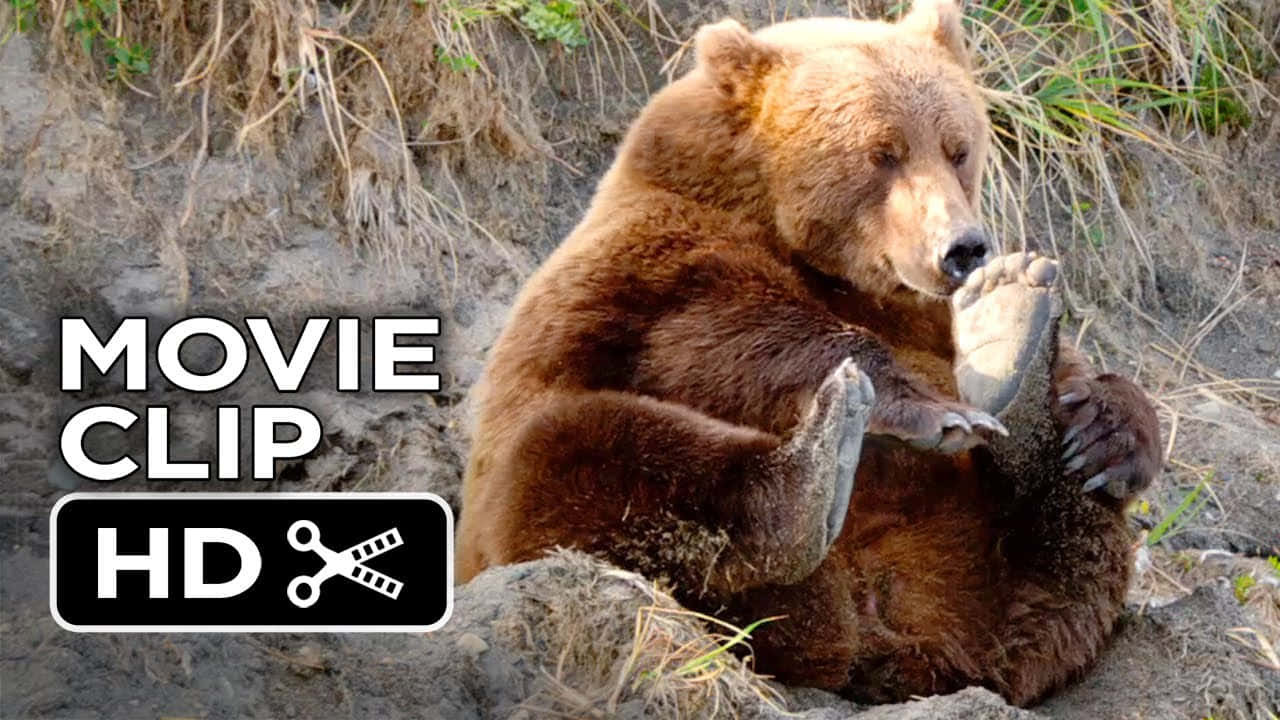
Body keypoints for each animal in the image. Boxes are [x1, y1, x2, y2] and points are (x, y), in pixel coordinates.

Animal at [456, 0, 1161, 706]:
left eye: (958, 148)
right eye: (883, 152)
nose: (962, 248)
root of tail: (877, 629)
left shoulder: (923, 312)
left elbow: (1080, 381)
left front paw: (1101, 424)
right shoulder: (651, 273)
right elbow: (732, 335)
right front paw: (933, 410)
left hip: (977, 569)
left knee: (1071, 561)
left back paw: (1021, 362)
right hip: (515, 517)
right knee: (578, 451)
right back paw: (812, 475)